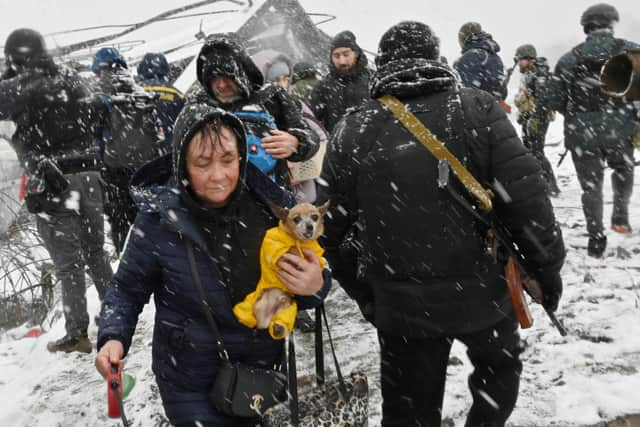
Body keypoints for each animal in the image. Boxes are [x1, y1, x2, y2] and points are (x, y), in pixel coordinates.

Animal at [231, 202, 330, 340]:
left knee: (280, 324)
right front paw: (295, 251)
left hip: (288, 309)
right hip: (255, 306)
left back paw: (278, 328)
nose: (309, 226)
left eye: (315, 217)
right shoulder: (274, 249)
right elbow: (290, 250)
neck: (300, 241)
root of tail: (267, 318)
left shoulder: (316, 257)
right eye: (296, 219)